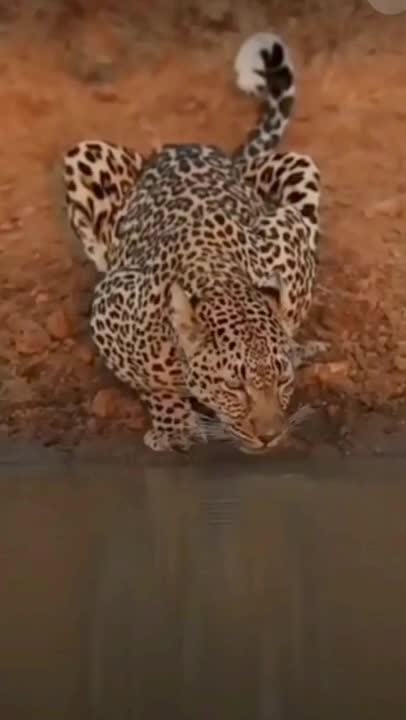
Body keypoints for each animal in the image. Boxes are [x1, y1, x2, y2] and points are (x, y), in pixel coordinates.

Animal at [62, 32, 327, 453]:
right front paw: (175, 425)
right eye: (235, 386)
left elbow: (291, 307)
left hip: (297, 168)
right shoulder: (109, 306)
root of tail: (192, 147)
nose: (269, 437)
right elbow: (152, 382)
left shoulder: (289, 237)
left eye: (283, 381)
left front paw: (293, 341)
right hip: (87, 156)